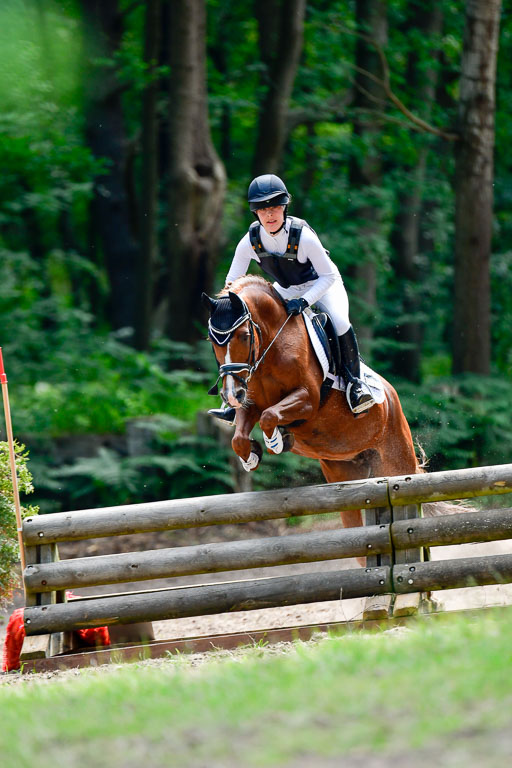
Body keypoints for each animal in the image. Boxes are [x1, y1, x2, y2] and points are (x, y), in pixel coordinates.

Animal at [202, 276, 422, 536]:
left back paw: (360, 393)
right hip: (344, 472)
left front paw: (276, 442)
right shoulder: (249, 404)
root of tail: (391, 396)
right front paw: (253, 456)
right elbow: (239, 438)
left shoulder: (308, 400)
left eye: (245, 336)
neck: (273, 344)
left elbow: (269, 416)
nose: (230, 395)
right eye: (212, 340)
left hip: (396, 461)